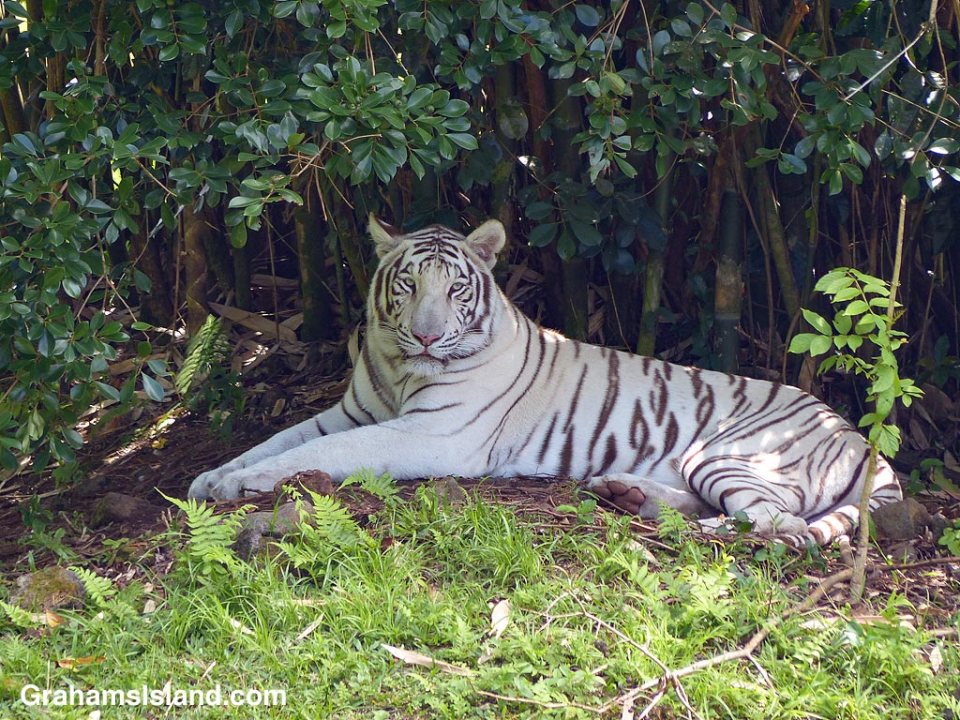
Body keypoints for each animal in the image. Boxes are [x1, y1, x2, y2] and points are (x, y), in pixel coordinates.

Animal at [188, 215, 902, 545]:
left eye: (454, 289)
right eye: (407, 284)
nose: (427, 336)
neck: (397, 368)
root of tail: (858, 436)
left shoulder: (432, 434)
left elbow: (325, 452)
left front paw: (236, 484)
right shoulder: (351, 411)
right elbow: (277, 441)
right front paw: (211, 478)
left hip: (733, 453)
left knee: (779, 524)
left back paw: (692, 529)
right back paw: (628, 493)